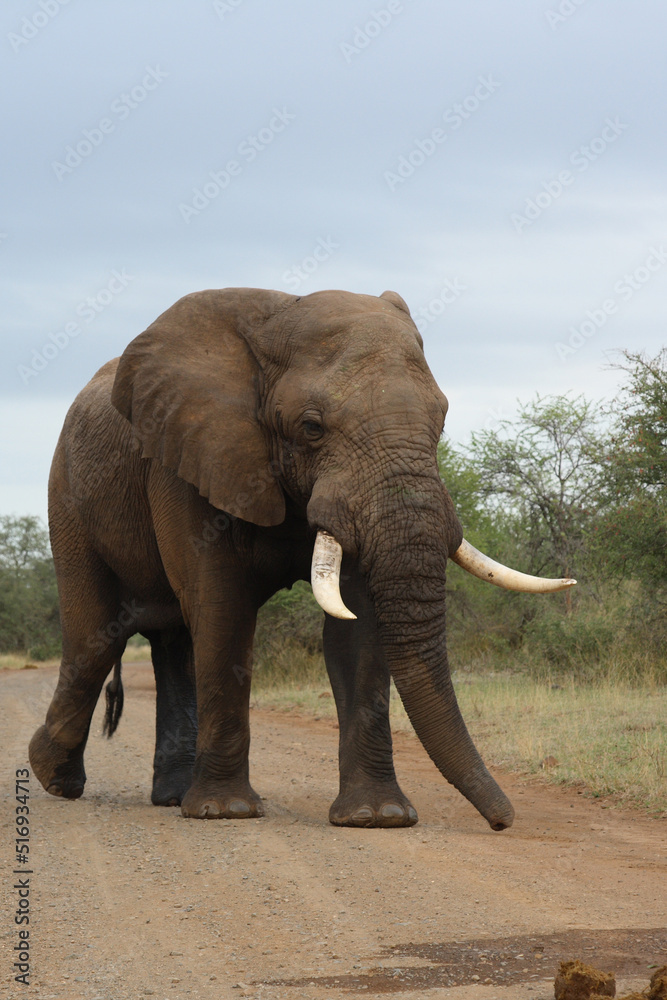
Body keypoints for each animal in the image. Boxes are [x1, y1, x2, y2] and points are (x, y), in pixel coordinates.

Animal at [29, 288, 574, 829]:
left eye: (440, 421)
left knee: (173, 646)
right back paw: (55, 778)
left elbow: (358, 626)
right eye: (311, 427)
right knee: (96, 636)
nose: (503, 821)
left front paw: (379, 816)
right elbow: (222, 609)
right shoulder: (186, 458)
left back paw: (171, 795)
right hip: (67, 496)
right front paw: (227, 812)